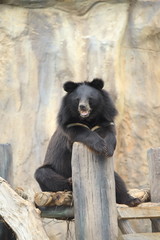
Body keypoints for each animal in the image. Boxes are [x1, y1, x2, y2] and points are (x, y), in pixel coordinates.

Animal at [34, 78, 140, 206]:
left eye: (90, 98)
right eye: (77, 99)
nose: (82, 107)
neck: (88, 119)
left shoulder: (104, 120)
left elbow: (110, 133)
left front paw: (108, 149)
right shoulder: (70, 124)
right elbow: (81, 132)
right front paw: (101, 146)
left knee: (117, 181)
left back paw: (133, 200)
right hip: (51, 171)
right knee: (44, 174)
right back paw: (69, 181)